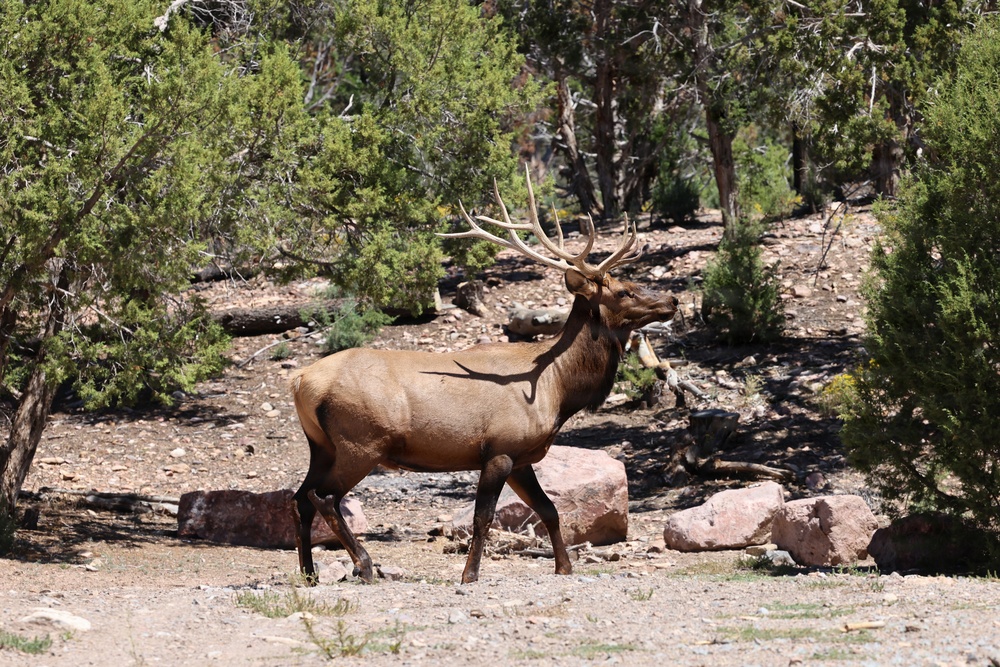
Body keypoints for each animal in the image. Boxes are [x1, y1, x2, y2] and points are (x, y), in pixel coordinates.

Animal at [290, 168, 679, 584]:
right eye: (623, 291)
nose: (672, 300)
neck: (559, 389)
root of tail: (300, 380)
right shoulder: (500, 449)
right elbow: (483, 517)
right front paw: (469, 575)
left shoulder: (523, 457)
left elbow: (550, 510)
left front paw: (564, 567)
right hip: (361, 443)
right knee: (323, 496)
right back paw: (363, 564)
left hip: (322, 446)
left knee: (299, 497)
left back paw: (309, 574)